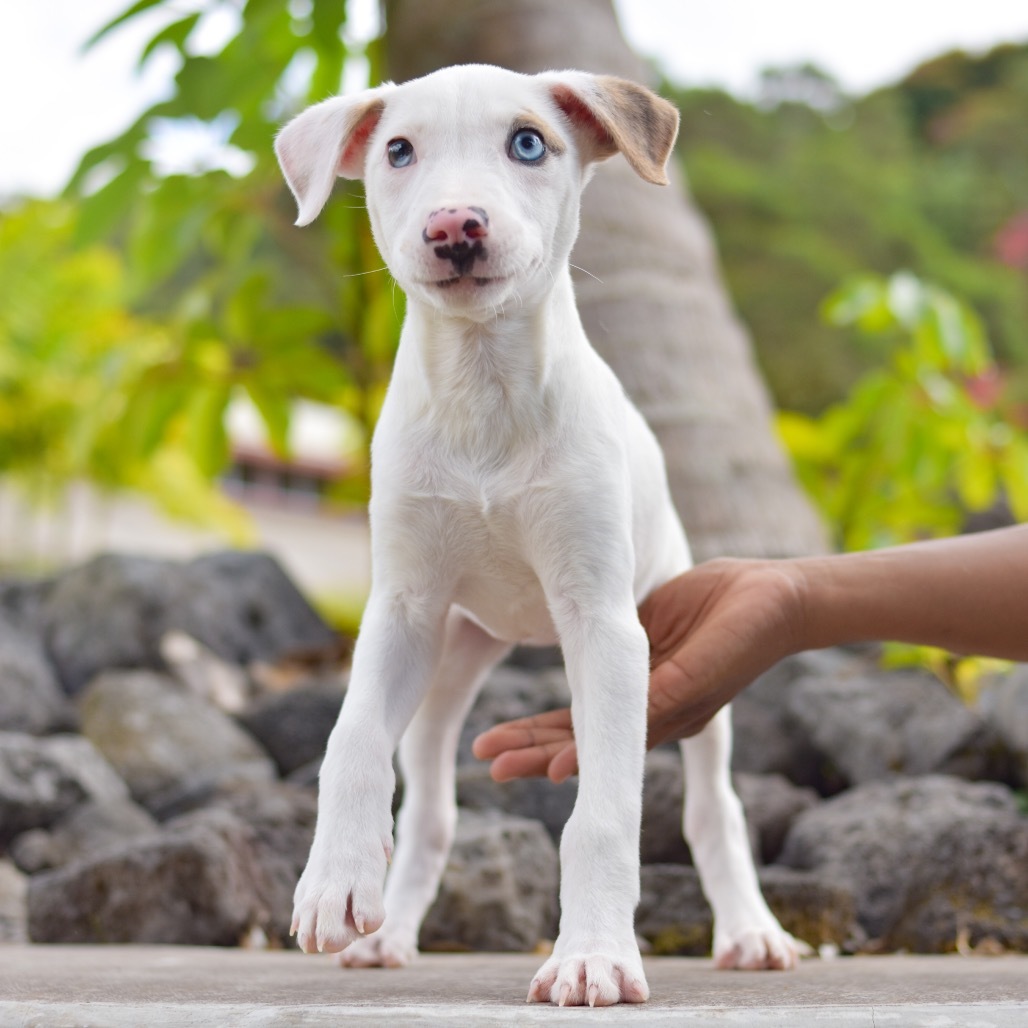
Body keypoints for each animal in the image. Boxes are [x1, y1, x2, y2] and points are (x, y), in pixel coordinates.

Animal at [275, 62, 801, 1003]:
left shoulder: (607, 630)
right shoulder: (401, 610)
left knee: (714, 808)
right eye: (397, 151)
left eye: (529, 143)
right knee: (433, 808)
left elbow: (602, 816)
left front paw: (593, 955)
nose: (454, 225)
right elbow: (351, 741)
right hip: (449, 665)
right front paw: (335, 882)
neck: (485, 393)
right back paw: (390, 934)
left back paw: (750, 933)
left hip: (691, 673)